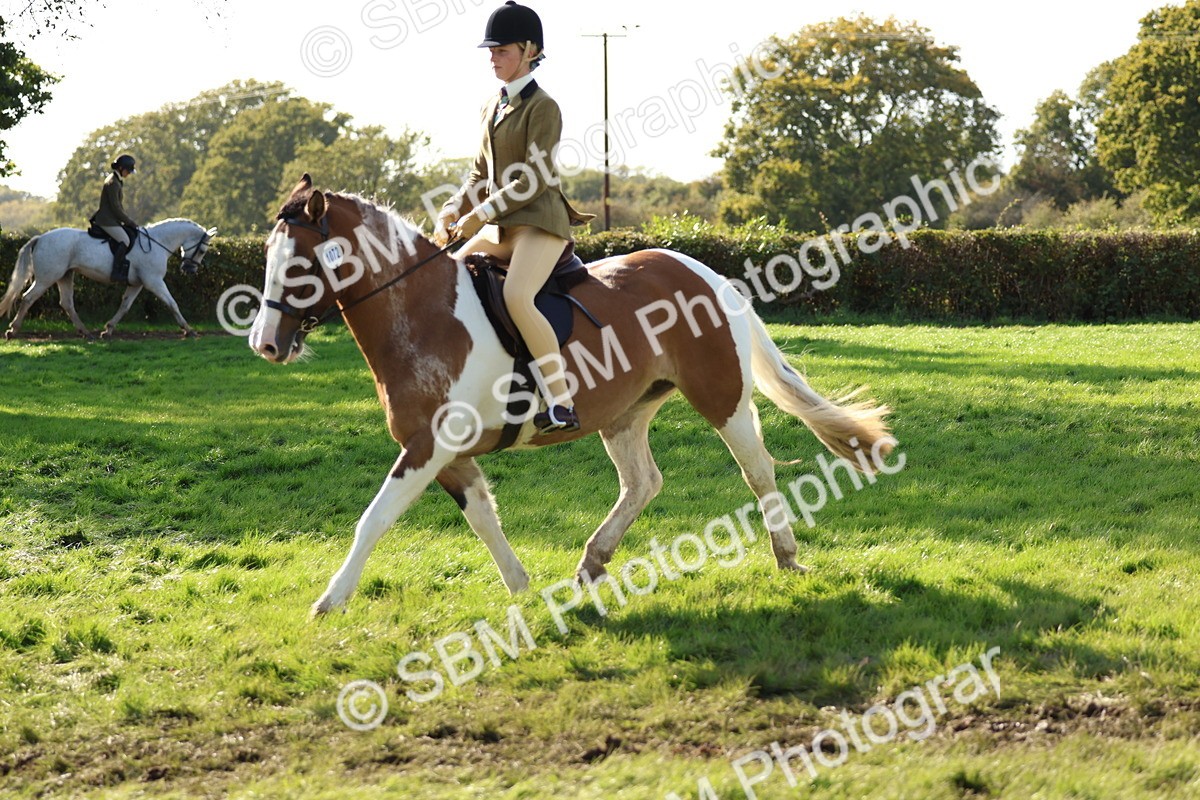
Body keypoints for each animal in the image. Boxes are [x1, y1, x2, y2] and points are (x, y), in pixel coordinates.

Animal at [1, 218, 216, 339]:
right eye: (202, 251)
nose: (189, 270)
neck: (157, 242)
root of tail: (41, 238)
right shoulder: (154, 281)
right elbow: (172, 304)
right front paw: (189, 330)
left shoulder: (138, 284)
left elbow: (125, 306)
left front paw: (108, 330)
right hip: (47, 278)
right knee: (28, 298)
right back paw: (12, 331)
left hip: (65, 276)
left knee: (67, 303)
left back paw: (86, 333)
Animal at [250, 175, 893, 616]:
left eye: (299, 265)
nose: (265, 344)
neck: (423, 313)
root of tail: (706, 273)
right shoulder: (447, 453)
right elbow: (484, 520)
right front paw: (523, 591)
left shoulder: (428, 445)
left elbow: (375, 519)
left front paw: (331, 600)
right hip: (627, 412)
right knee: (643, 482)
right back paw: (591, 563)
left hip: (722, 398)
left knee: (756, 470)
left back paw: (786, 557)